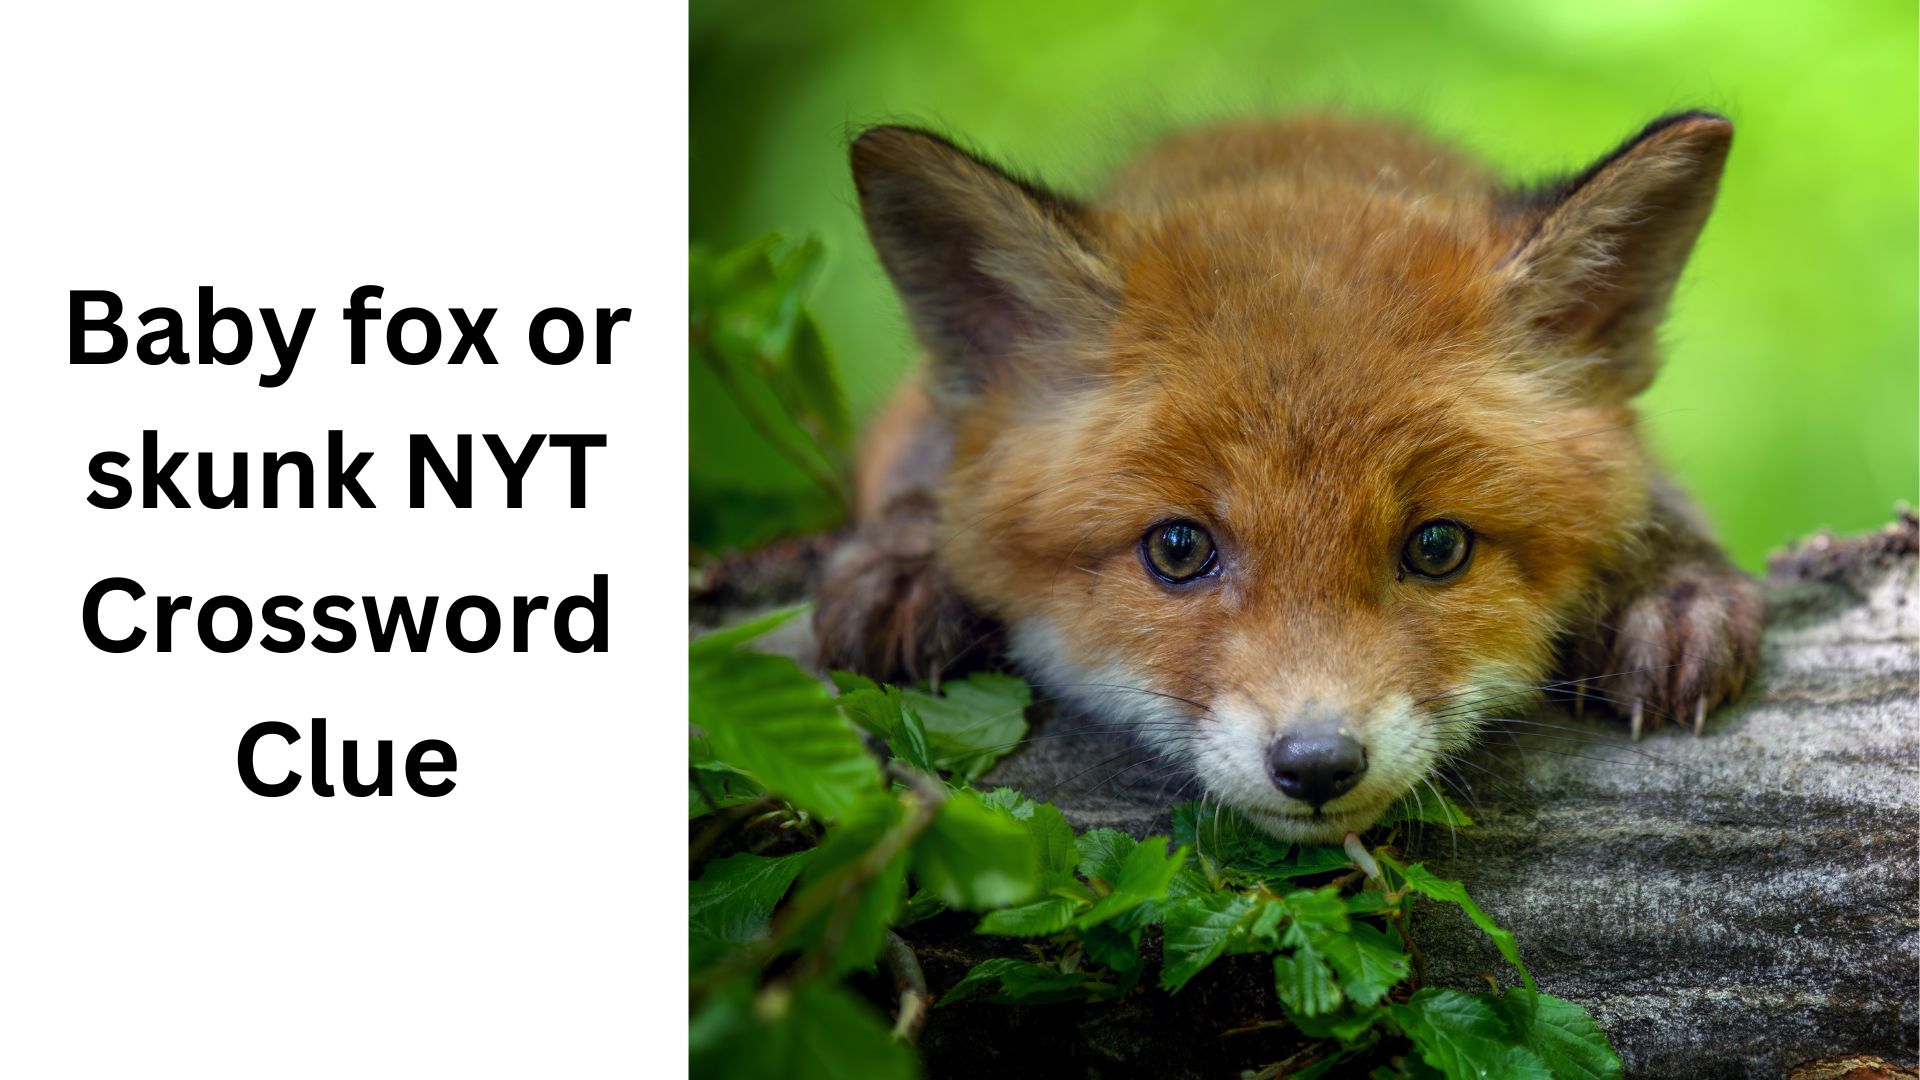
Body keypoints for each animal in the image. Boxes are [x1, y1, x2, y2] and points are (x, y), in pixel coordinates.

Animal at [814, 111, 1764, 843]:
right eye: (1178, 549)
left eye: (1439, 547)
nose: (1316, 765)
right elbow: (926, 484)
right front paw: (910, 561)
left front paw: (1664, 584)